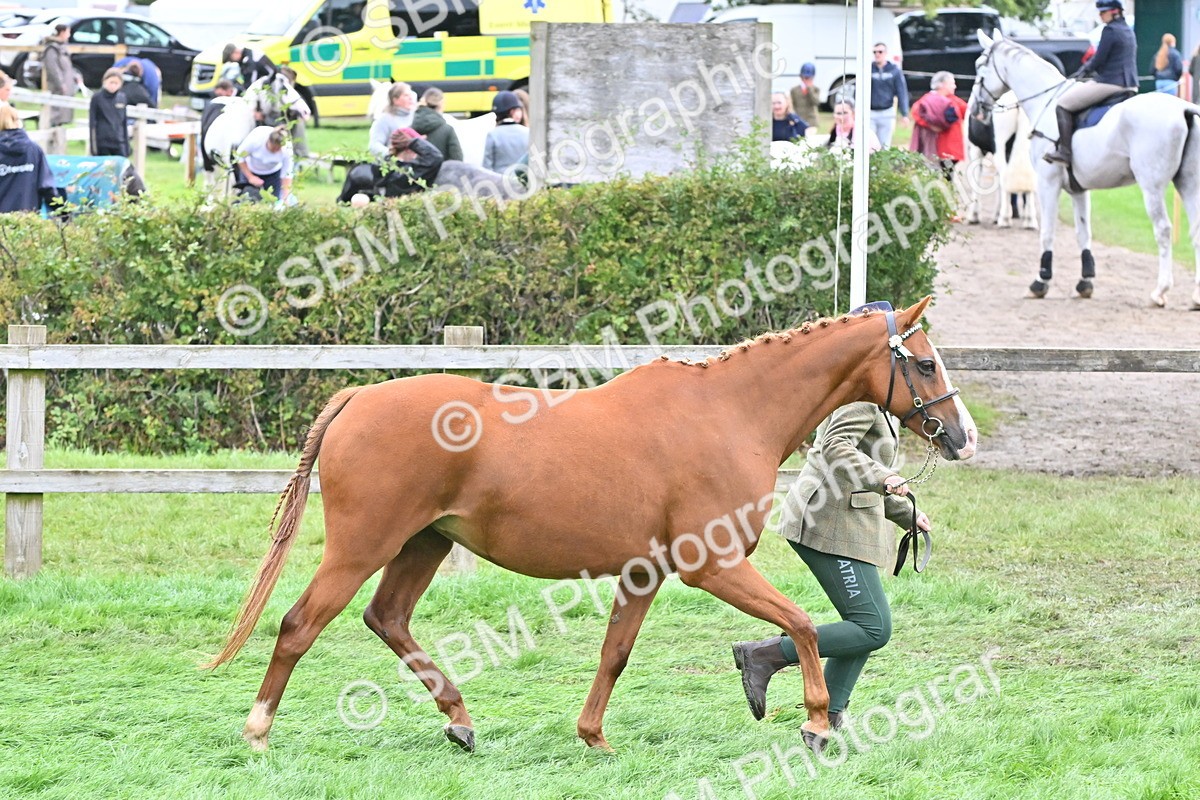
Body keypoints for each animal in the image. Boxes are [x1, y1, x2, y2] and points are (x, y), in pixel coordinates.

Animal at [203, 298, 978, 755]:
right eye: (926, 362)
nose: (963, 438)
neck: (729, 414)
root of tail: (360, 395)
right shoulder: (713, 566)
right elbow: (802, 625)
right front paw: (816, 720)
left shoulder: (645, 573)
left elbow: (615, 653)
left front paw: (592, 736)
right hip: (364, 545)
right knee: (300, 624)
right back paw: (257, 729)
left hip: (424, 544)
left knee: (386, 617)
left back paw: (460, 719)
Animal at [966, 92, 1038, 230]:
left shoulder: (976, 150)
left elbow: (977, 181)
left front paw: (973, 216)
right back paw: (1030, 221)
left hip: (999, 149)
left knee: (1005, 177)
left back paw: (1004, 219)